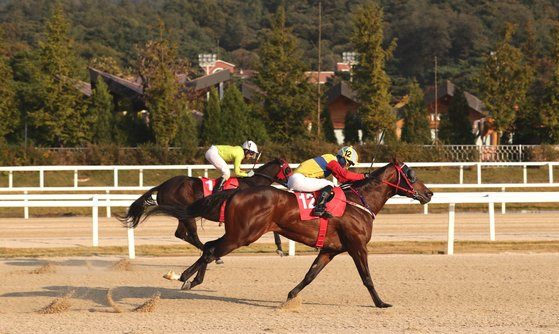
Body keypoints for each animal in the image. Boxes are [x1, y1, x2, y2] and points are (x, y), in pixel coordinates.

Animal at [118, 157, 294, 258]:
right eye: (288, 169)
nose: (294, 181)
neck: (252, 184)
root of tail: (163, 185)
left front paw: (280, 249)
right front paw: (280, 249)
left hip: (183, 214)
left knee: (180, 234)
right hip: (186, 214)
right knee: (192, 235)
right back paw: (213, 255)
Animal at [144, 159, 434, 308]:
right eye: (411, 174)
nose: (429, 193)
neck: (359, 202)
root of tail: (235, 193)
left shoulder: (330, 249)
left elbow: (310, 275)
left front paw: (290, 297)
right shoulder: (357, 246)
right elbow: (367, 278)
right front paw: (381, 303)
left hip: (240, 233)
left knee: (207, 246)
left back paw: (187, 277)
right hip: (242, 235)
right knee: (210, 248)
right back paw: (186, 277)